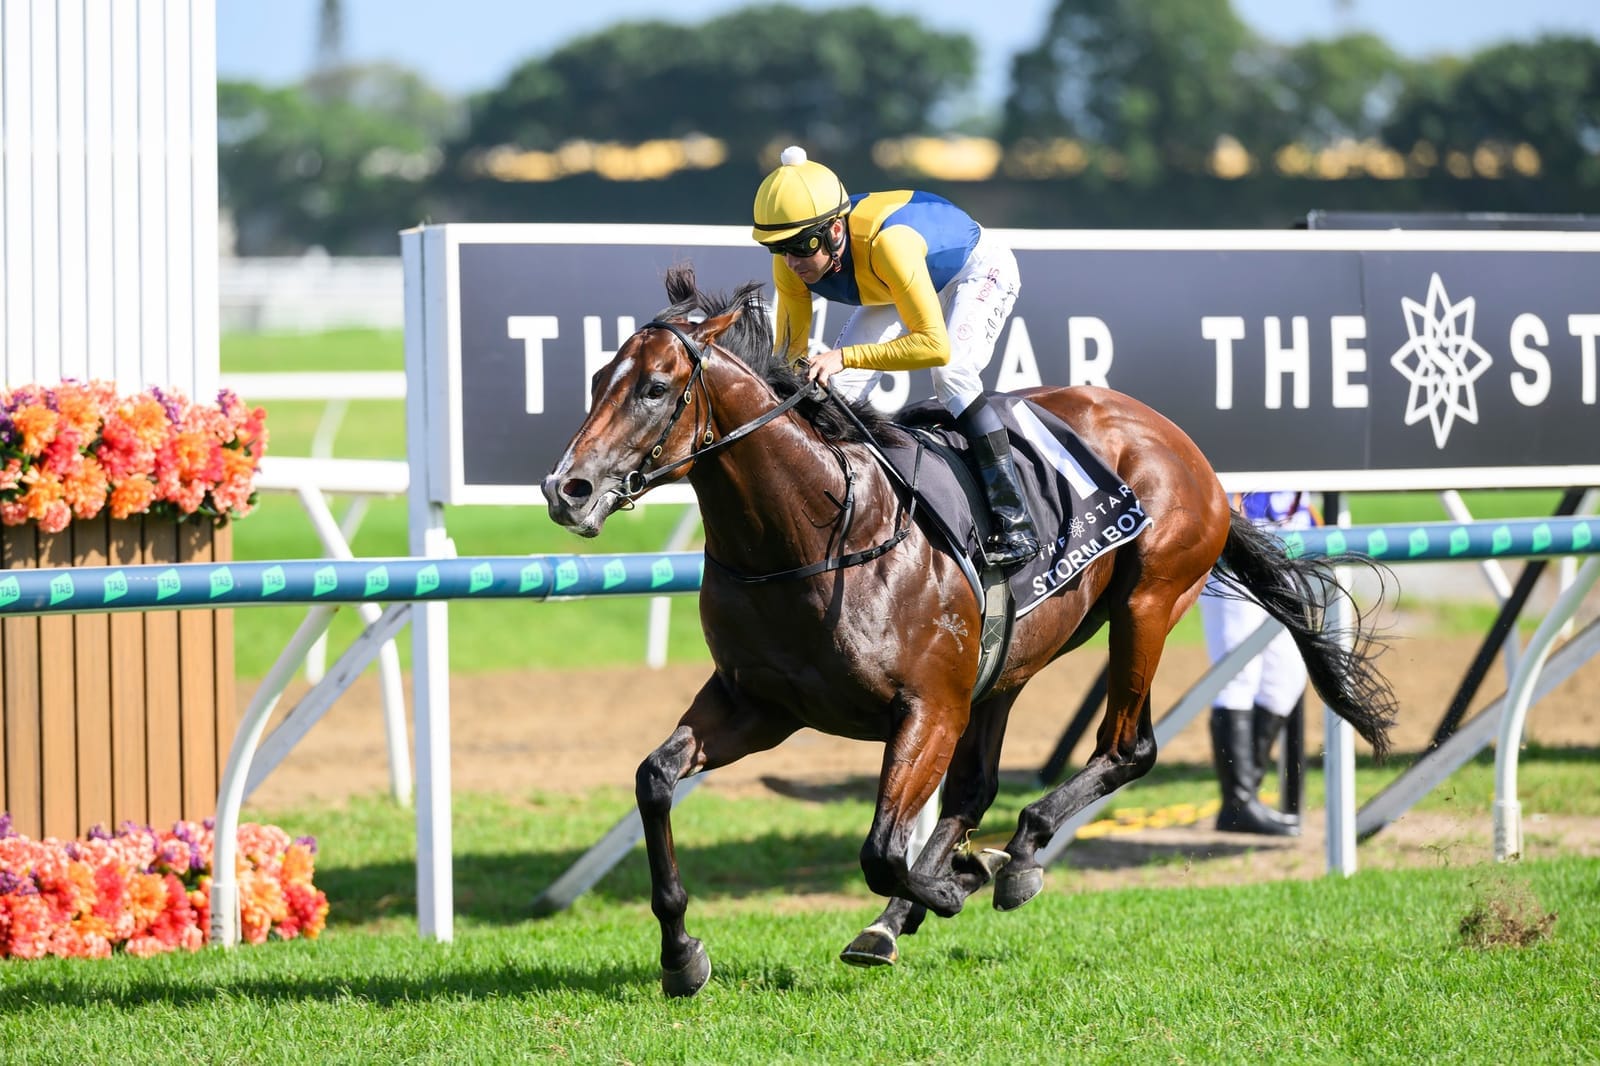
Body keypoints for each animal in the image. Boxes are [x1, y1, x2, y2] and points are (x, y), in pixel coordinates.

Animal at [544, 265, 1395, 998]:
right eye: (596, 381)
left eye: (656, 387)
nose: (566, 489)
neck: (812, 534)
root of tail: (1175, 438)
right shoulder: (761, 705)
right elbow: (655, 779)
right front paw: (681, 954)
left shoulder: (927, 705)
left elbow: (881, 849)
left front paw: (954, 882)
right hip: (1006, 665)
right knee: (978, 787)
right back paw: (906, 915)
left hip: (1149, 601)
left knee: (1128, 746)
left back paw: (1014, 859)